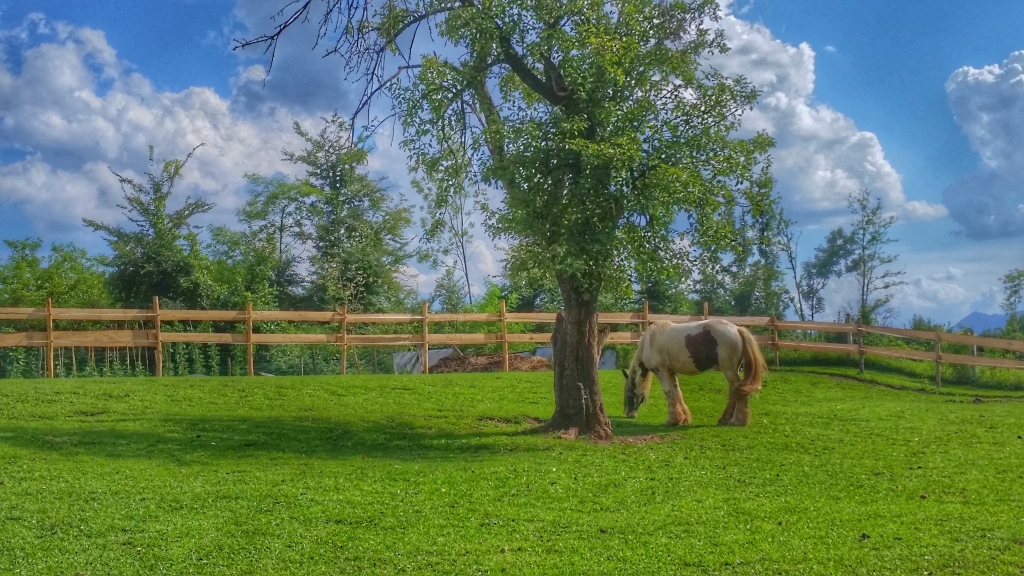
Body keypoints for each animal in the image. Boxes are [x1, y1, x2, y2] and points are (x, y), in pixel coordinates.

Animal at [621, 319, 768, 427]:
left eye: (629, 394)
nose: (629, 414)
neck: (650, 340)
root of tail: (737, 329)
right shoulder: (671, 372)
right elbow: (677, 393)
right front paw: (683, 418)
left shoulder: (661, 372)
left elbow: (669, 393)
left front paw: (672, 420)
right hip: (732, 370)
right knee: (734, 390)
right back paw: (724, 419)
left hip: (728, 369)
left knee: (739, 389)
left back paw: (738, 421)